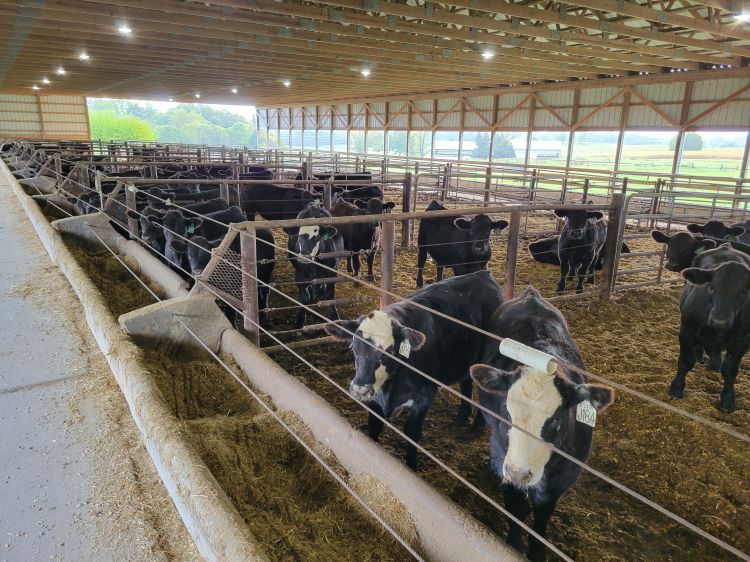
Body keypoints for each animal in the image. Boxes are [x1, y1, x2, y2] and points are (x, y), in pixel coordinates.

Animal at [324, 270, 506, 466]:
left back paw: (477, 424)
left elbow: (412, 433)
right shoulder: (375, 399)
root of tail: (483, 274)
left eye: (388, 352)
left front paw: (411, 465)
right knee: (466, 383)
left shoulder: (425, 396)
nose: (360, 390)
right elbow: (374, 427)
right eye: (353, 347)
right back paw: (462, 417)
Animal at [470, 286, 616, 556]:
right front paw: (514, 544)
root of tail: (531, 295)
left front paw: (537, 551)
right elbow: (515, 510)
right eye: (506, 413)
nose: (520, 473)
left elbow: (542, 517)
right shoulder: (506, 462)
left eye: (557, 418)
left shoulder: (564, 478)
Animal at [672, 242, 750, 412]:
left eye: (744, 292)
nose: (719, 321)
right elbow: (685, 361)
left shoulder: (743, 342)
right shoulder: (686, 329)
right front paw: (675, 388)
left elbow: (730, 371)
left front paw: (728, 400)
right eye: (712, 287)